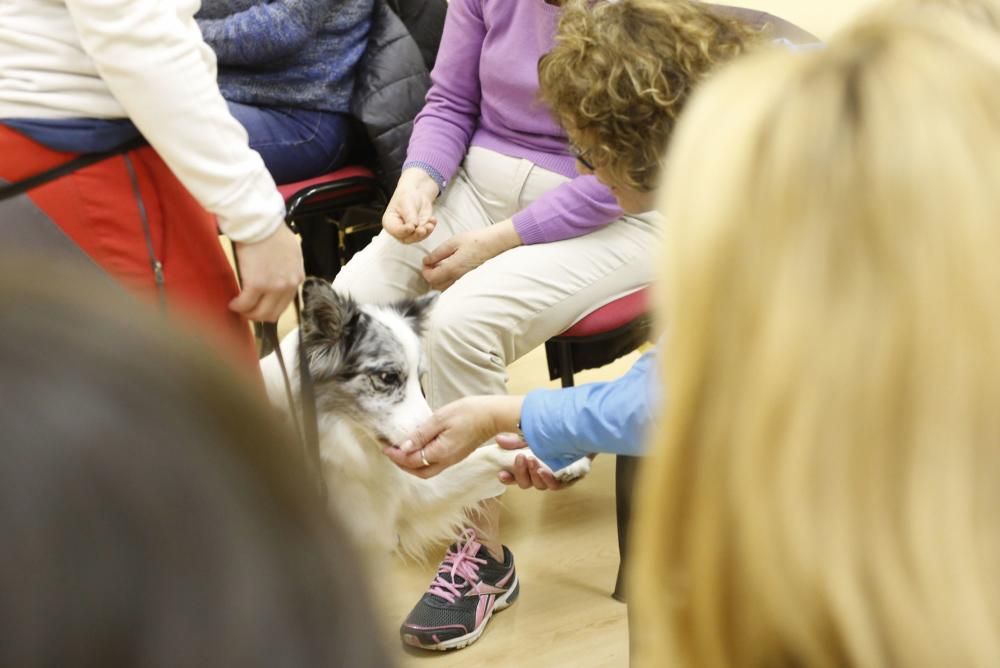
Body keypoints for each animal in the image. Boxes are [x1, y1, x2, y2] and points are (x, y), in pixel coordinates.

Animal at [258, 280, 588, 560]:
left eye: (421, 380)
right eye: (388, 377)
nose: (435, 437)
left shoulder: (411, 495)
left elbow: (487, 454)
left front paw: (556, 460)